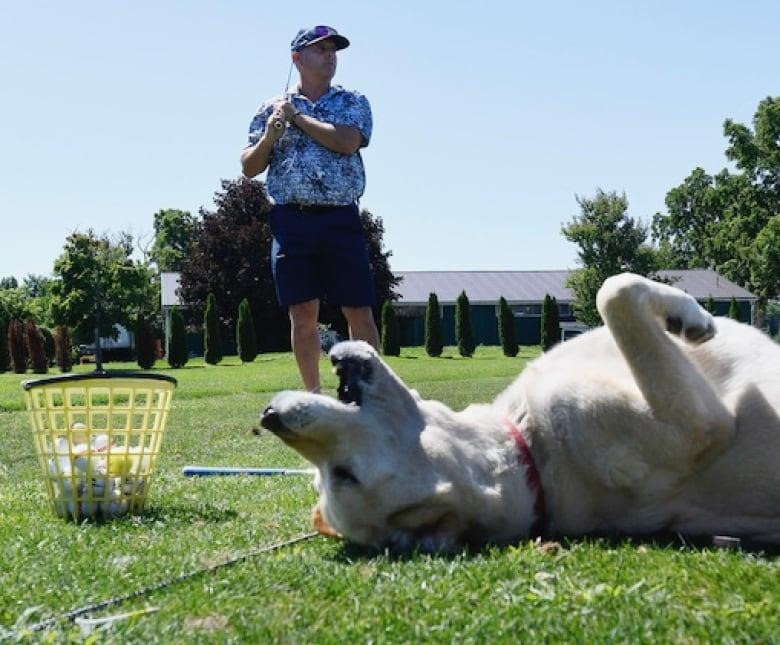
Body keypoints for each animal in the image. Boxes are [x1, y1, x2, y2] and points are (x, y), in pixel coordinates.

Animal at [260, 270, 780, 548]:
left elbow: (611, 289)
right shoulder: (701, 424)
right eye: (342, 474)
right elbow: (613, 291)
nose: (270, 418)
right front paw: (689, 315)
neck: (531, 452)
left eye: (329, 478)